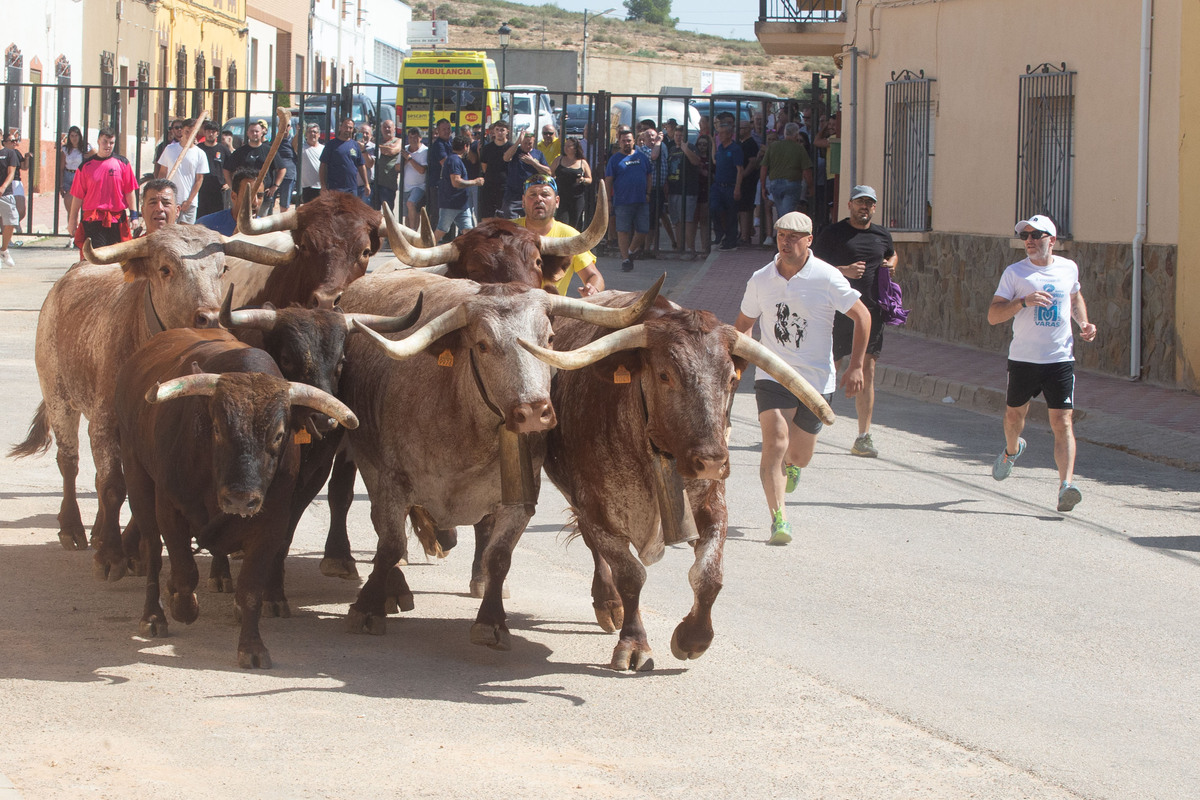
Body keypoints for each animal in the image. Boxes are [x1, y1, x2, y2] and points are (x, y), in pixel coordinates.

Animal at [116, 326, 360, 671]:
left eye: (279, 434)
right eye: (217, 429)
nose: (240, 499)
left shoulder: (271, 523)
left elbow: (251, 588)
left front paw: (252, 647)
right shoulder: (170, 508)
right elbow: (184, 570)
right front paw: (182, 606)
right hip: (137, 476)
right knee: (151, 550)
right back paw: (153, 616)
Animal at [525, 291, 835, 671]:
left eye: (731, 379)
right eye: (664, 375)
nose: (712, 461)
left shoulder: (712, 505)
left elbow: (709, 575)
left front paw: (693, 638)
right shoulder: (595, 511)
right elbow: (630, 575)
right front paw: (634, 643)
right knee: (595, 551)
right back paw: (608, 604)